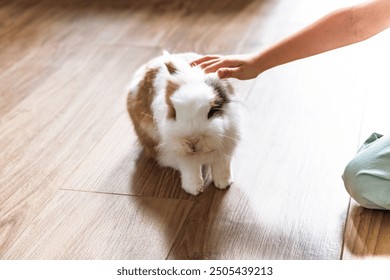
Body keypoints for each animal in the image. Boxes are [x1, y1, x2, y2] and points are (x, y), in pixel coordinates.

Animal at [126, 51, 239, 196]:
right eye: (174, 112)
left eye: (212, 111)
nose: (192, 141)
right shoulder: (182, 155)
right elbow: (190, 171)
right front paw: (194, 190)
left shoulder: (225, 147)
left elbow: (221, 167)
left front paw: (224, 184)